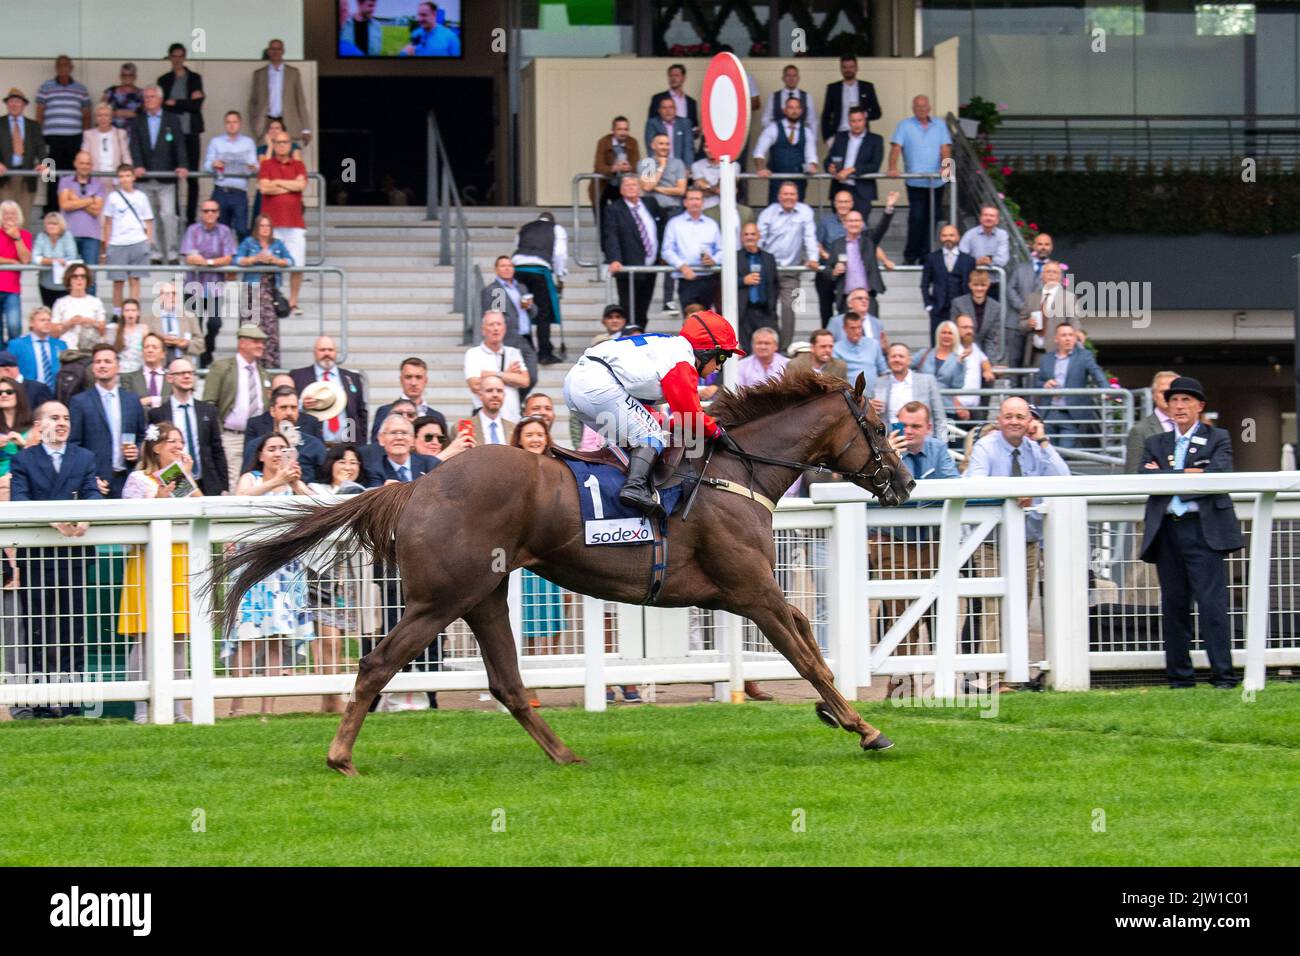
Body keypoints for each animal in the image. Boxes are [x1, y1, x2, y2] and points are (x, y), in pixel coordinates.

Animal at [215, 369, 915, 775]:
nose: (906, 483)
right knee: (378, 663)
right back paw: (340, 758)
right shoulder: (751, 592)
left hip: (484, 595)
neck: (733, 473)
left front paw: (839, 715)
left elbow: (810, 639)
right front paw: (867, 729)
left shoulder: (756, 592)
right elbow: (806, 658)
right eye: (880, 425)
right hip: (440, 599)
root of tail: (415, 486)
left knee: (506, 684)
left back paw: (565, 754)